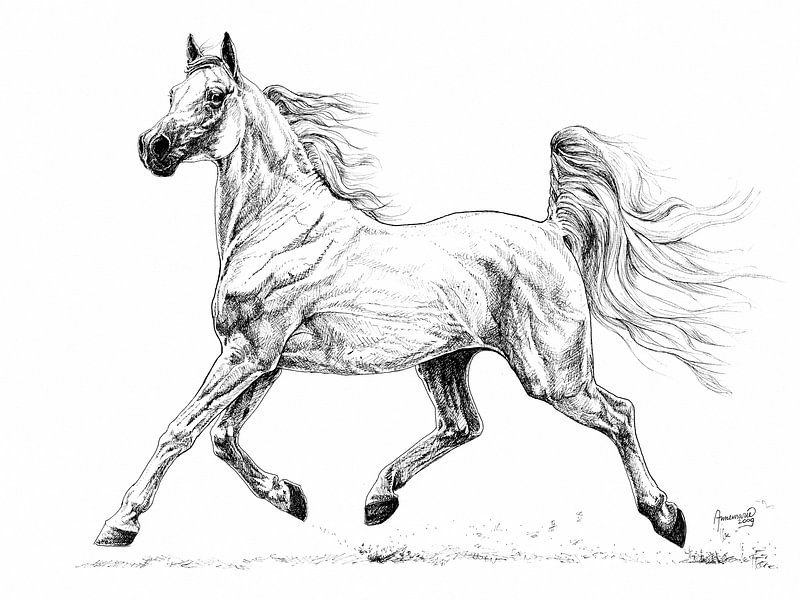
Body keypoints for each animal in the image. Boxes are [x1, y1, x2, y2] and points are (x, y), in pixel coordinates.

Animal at [95, 33, 750, 548]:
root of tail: (552, 231)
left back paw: (667, 518)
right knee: (464, 426)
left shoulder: (248, 354)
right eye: (170, 93)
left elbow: (181, 431)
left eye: (214, 96)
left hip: (553, 377)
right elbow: (223, 438)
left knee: (619, 413)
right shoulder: (264, 360)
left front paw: (119, 526)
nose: (151, 148)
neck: (277, 226)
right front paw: (291, 498)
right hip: (445, 362)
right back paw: (378, 500)